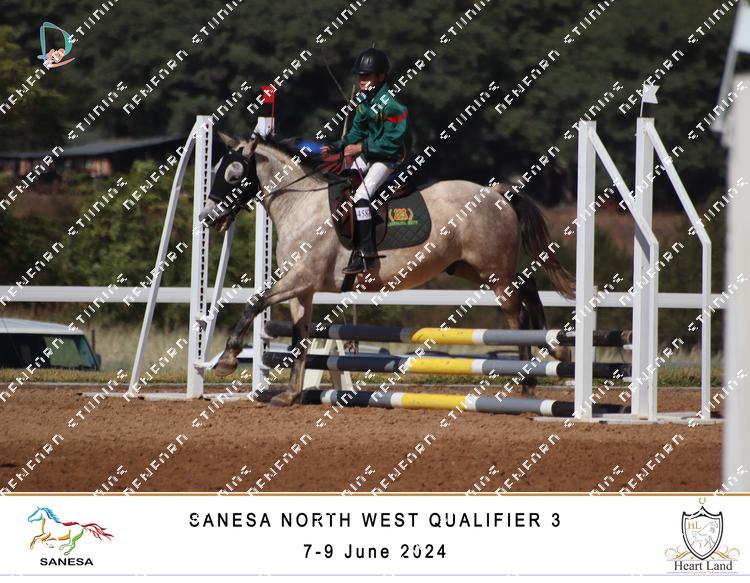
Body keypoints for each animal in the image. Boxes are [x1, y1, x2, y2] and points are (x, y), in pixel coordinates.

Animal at [202, 133, 575, 406]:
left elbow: (254, 304)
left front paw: (226, 359)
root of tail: (497, 192)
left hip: (494, 271)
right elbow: (298, 337)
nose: (208, 218)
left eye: (233, 176)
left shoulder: (300, 279)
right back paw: (553, 352)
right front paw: (291, 394)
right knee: (527, 288)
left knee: (516, 312)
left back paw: (528, 382)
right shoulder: (302, 288)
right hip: (470, 268)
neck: (301, 204)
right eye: (215, 170)